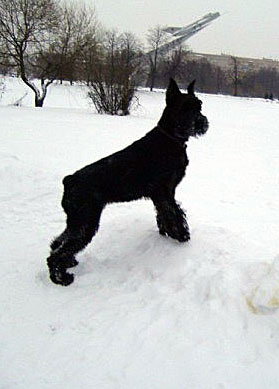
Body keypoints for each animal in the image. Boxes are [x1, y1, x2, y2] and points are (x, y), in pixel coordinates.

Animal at [47, 79, 209, 284]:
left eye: (199, 106)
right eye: (184, 108)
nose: (202, 123)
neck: (170, 138)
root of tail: (68, 181)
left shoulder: (160, 195)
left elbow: (163, 214)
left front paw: (168, 233)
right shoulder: (165, 192)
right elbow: (174, 213)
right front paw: (181, 235)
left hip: (77, 221)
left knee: (59, 242)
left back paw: (69, 263)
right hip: (85, 222)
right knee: (58, 252)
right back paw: (61, 278)